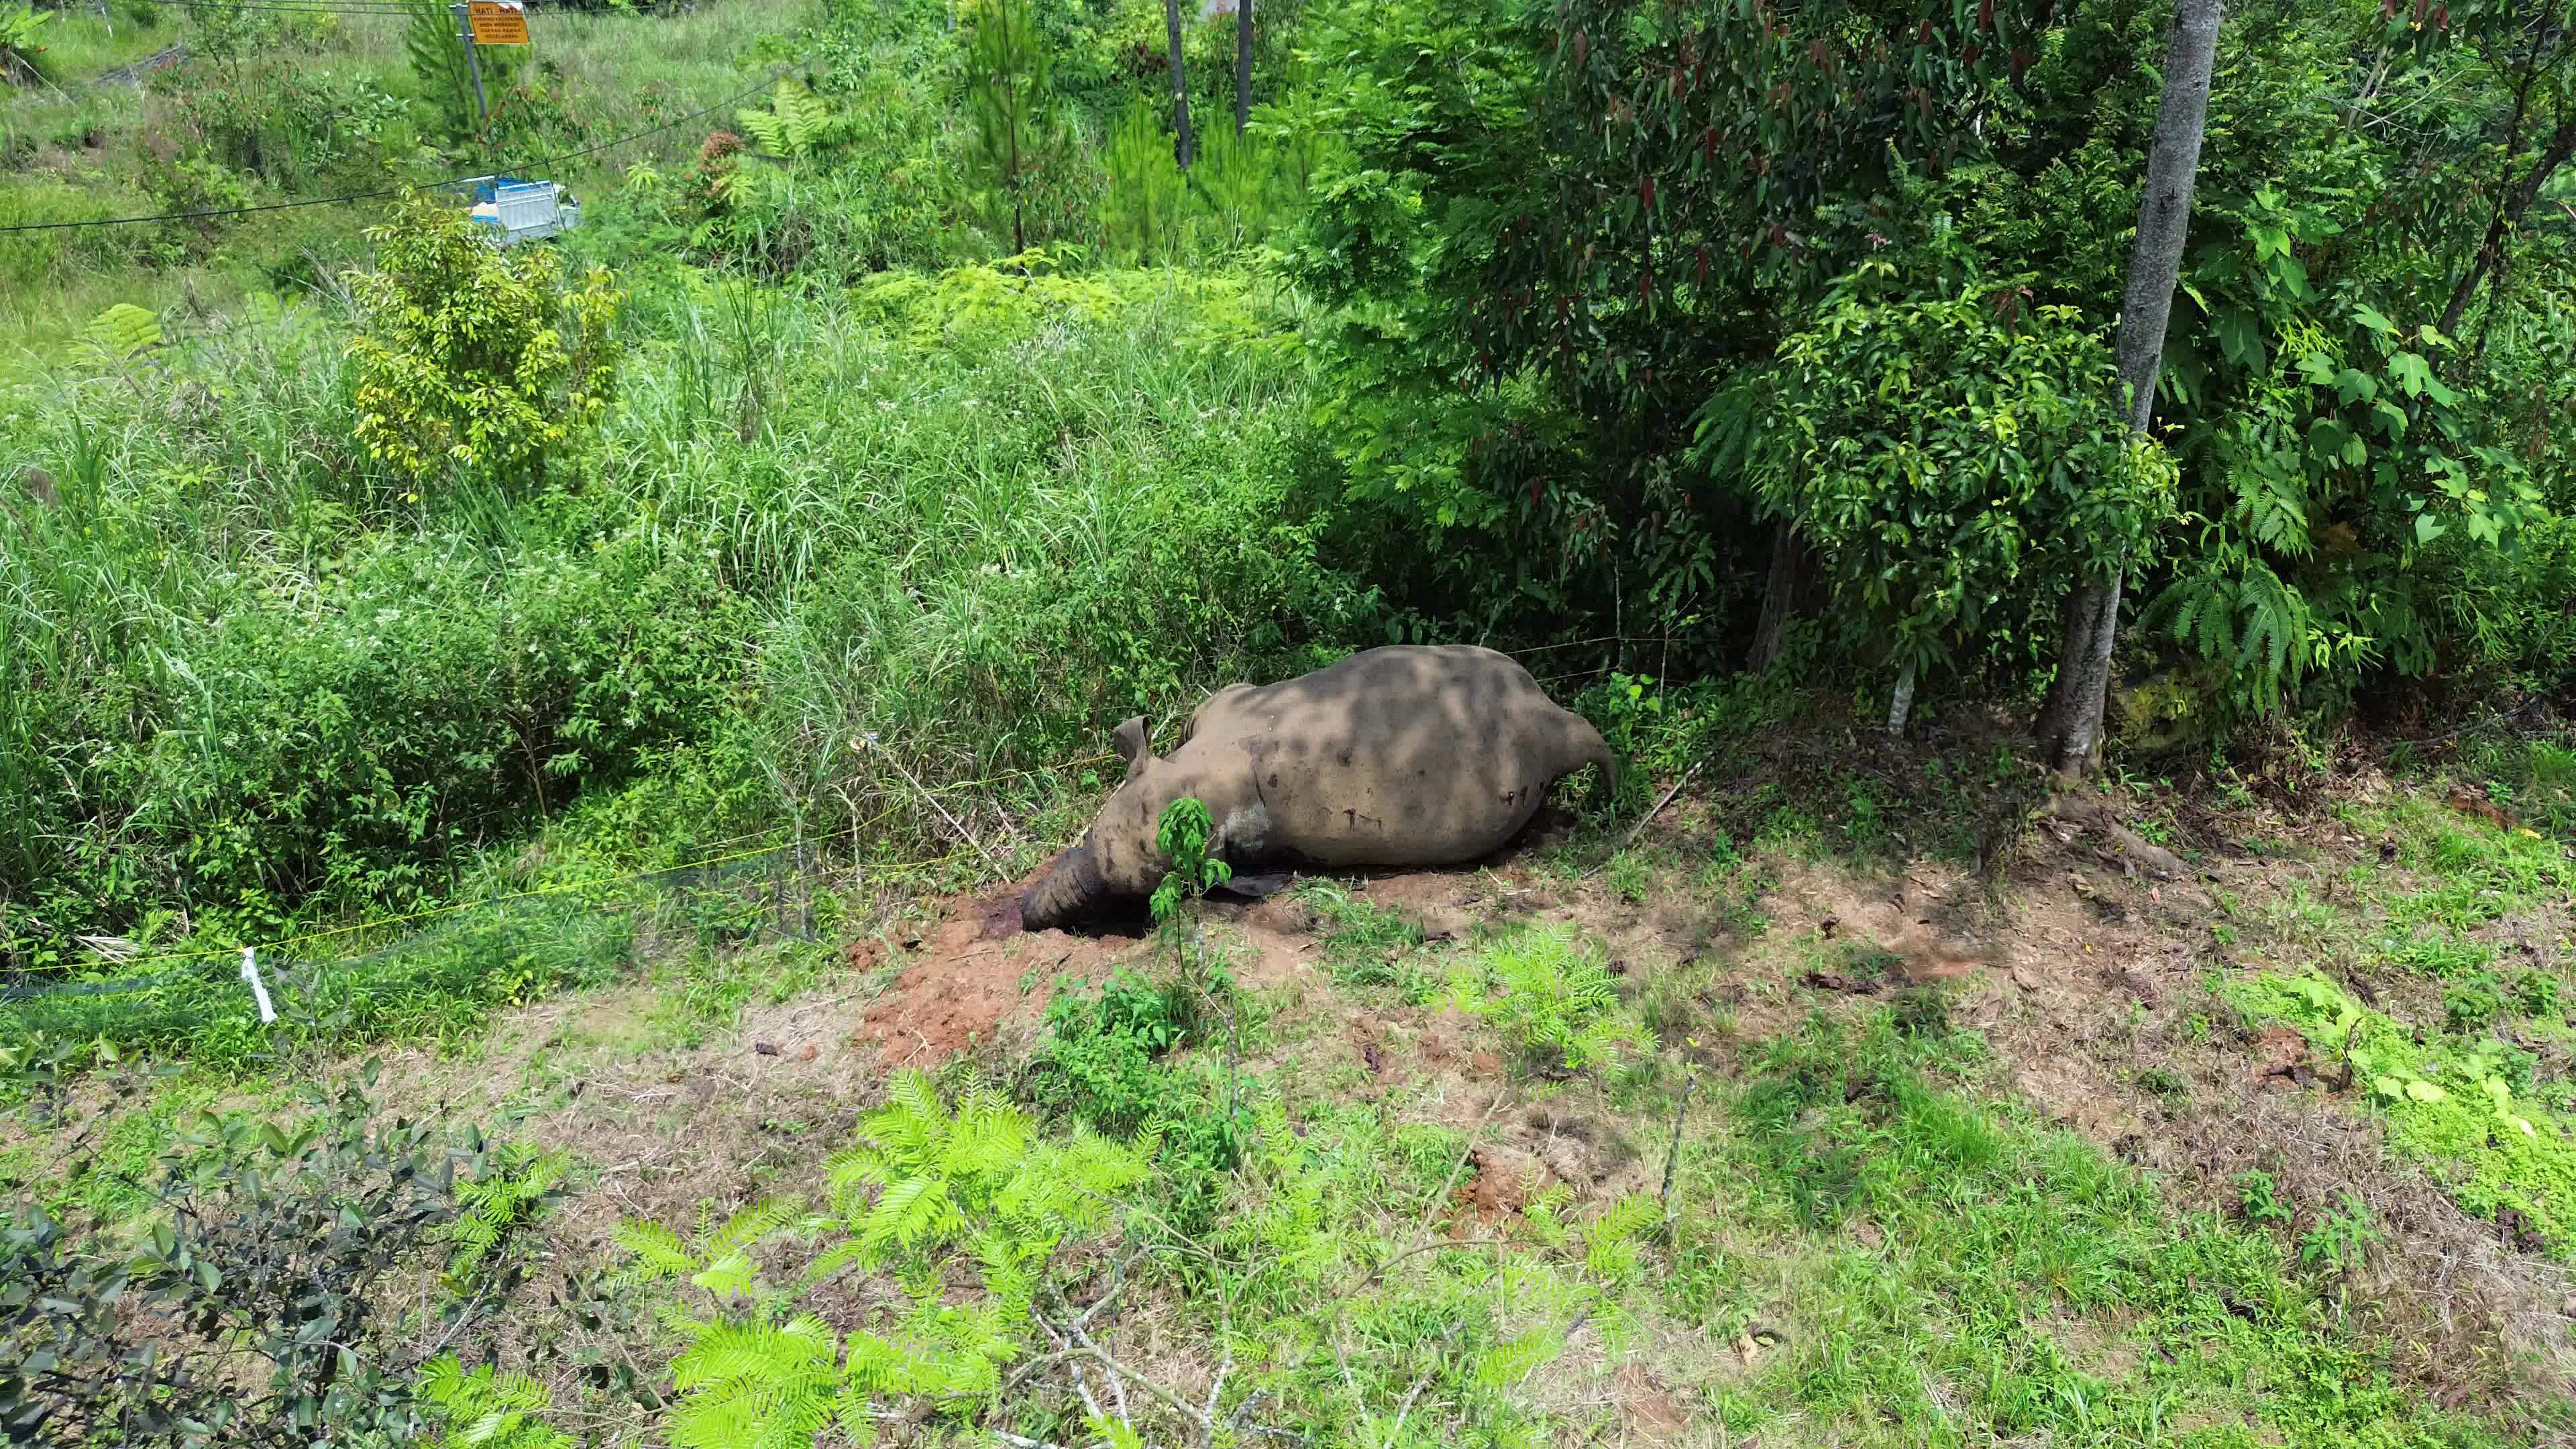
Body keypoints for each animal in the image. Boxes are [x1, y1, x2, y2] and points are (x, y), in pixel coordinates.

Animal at [1020, 645, 1617, 931]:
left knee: (1591, 740)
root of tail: (1537, 695)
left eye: (1131, 896)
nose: (1029, 912)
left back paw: (1612, 802)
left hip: (1547, 736)